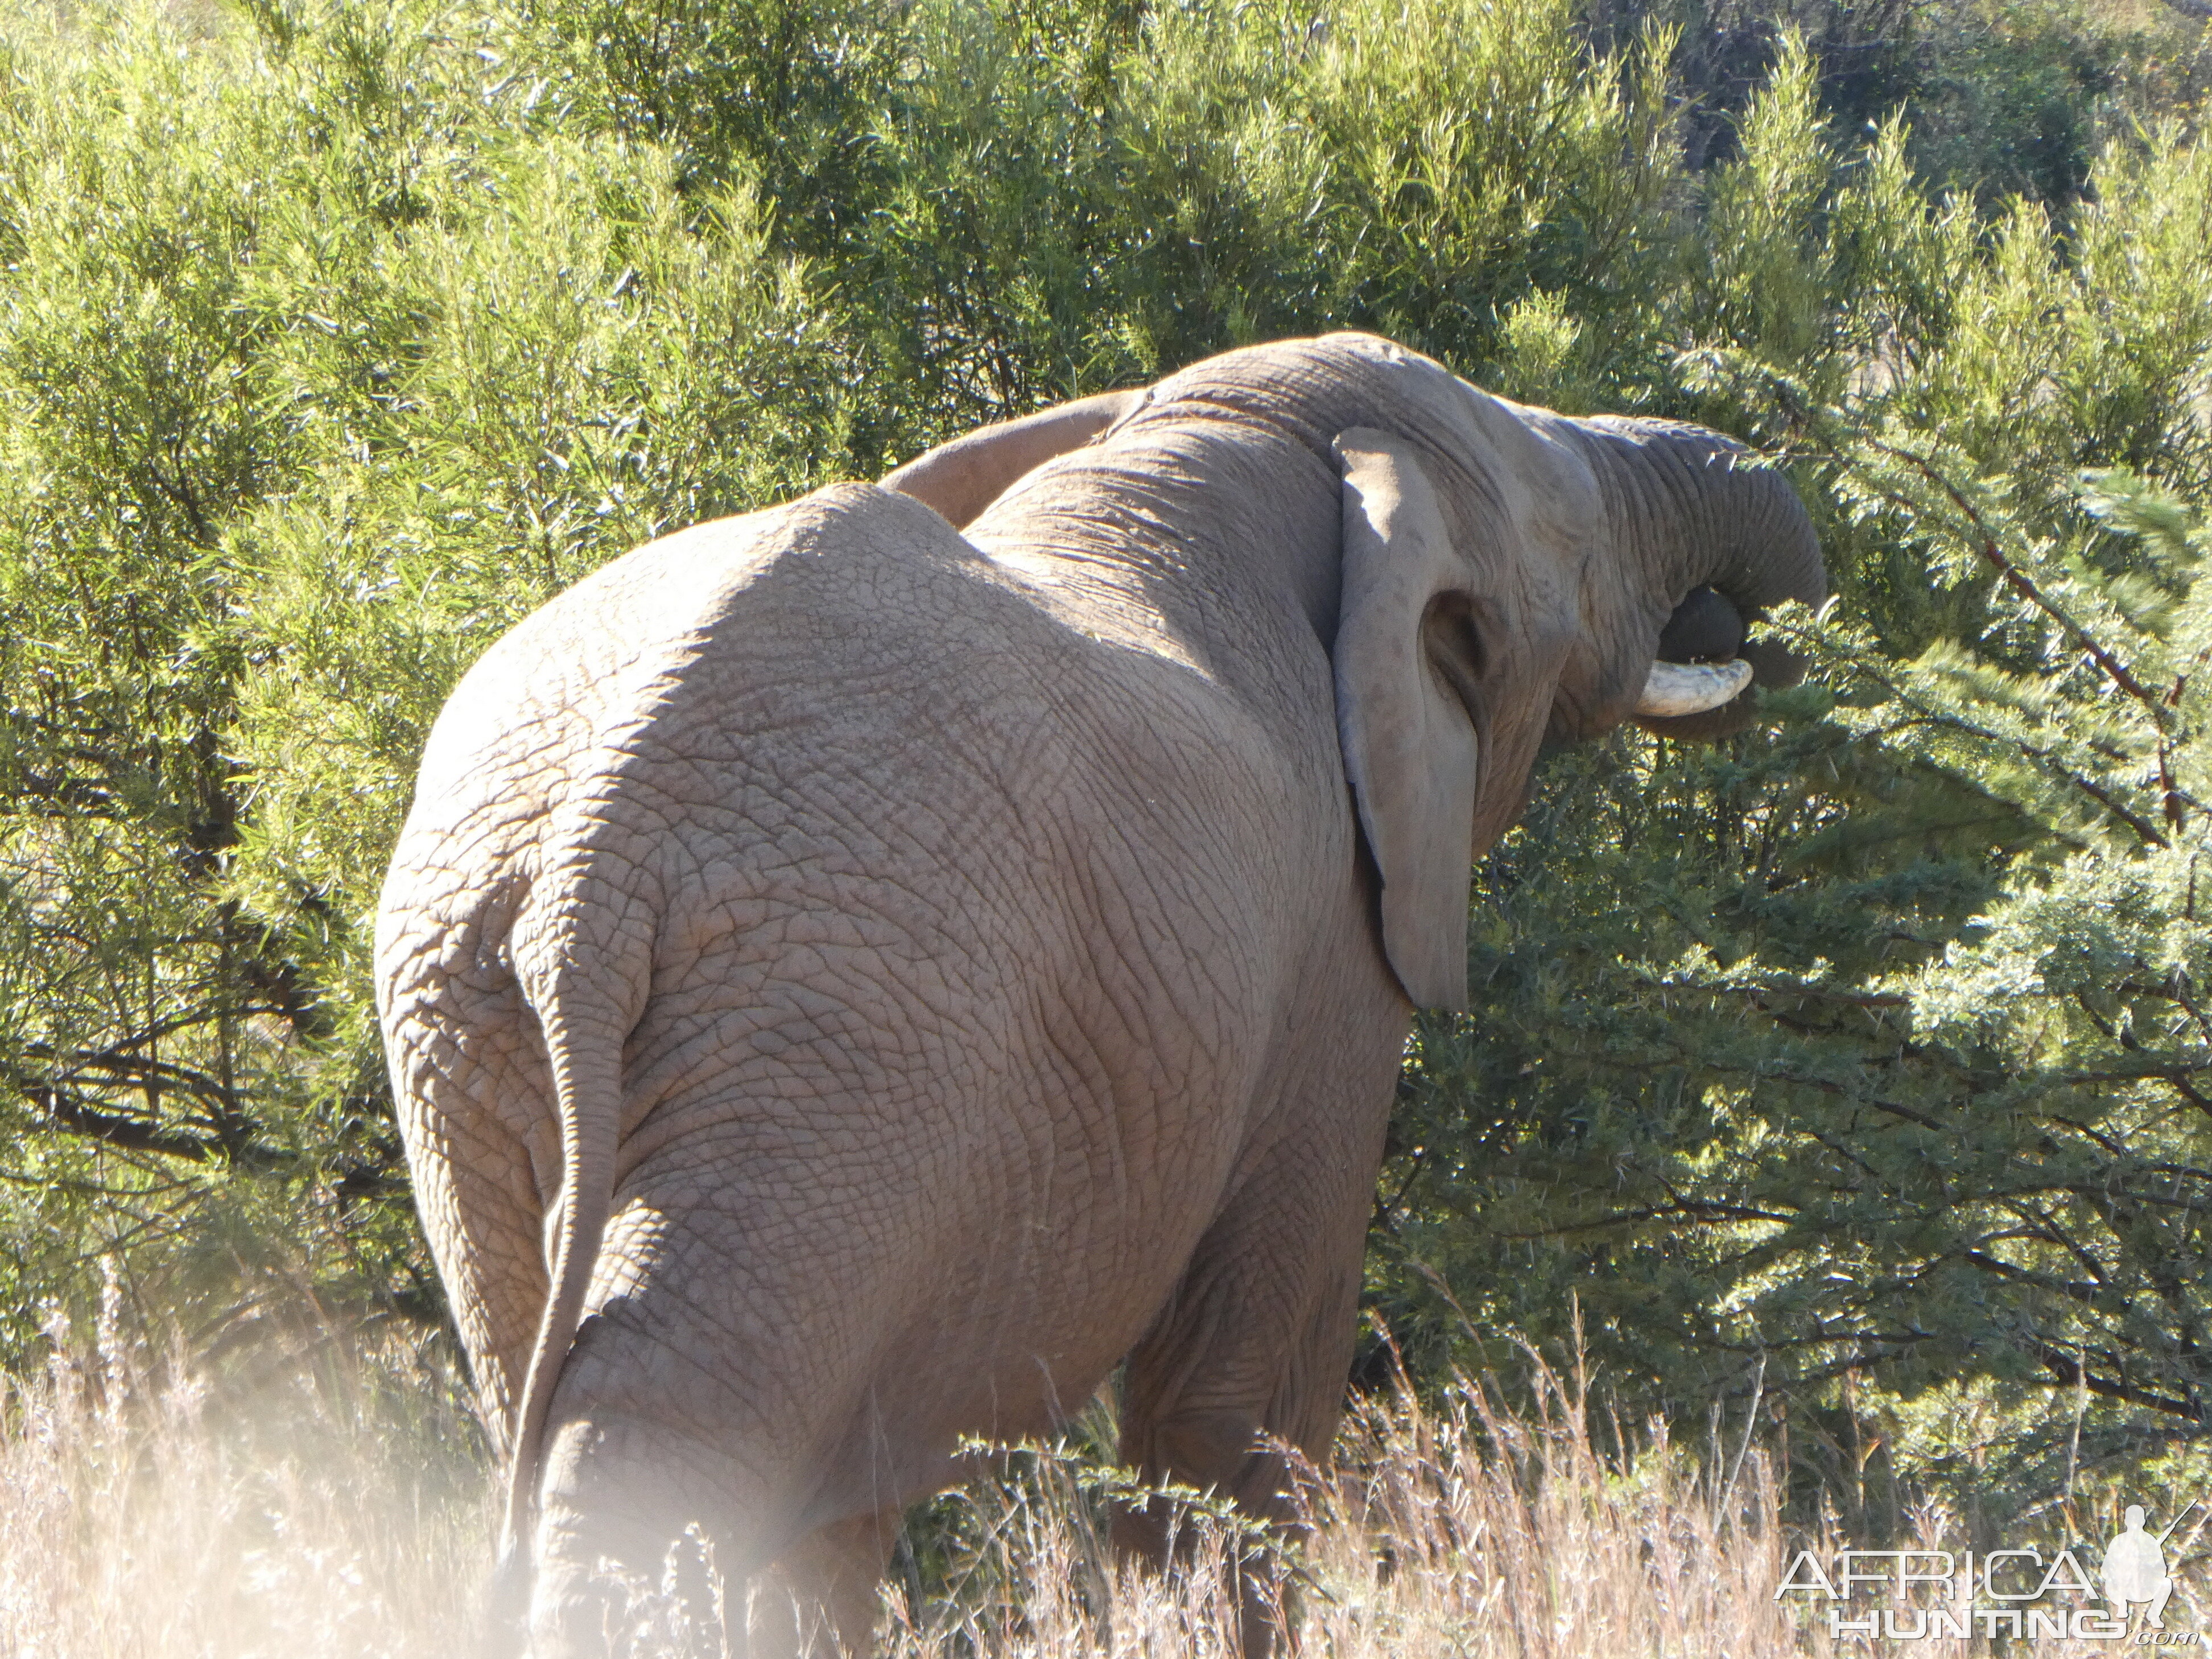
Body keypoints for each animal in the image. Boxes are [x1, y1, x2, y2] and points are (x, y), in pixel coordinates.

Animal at [380, 332, 1822, 1654]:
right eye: (1575, 543)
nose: (1738, 630)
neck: (1215, 442)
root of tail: (594, 847)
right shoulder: (1328, 962)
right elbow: (1238, 1402)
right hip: (832, 1039)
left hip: (467, 1019)